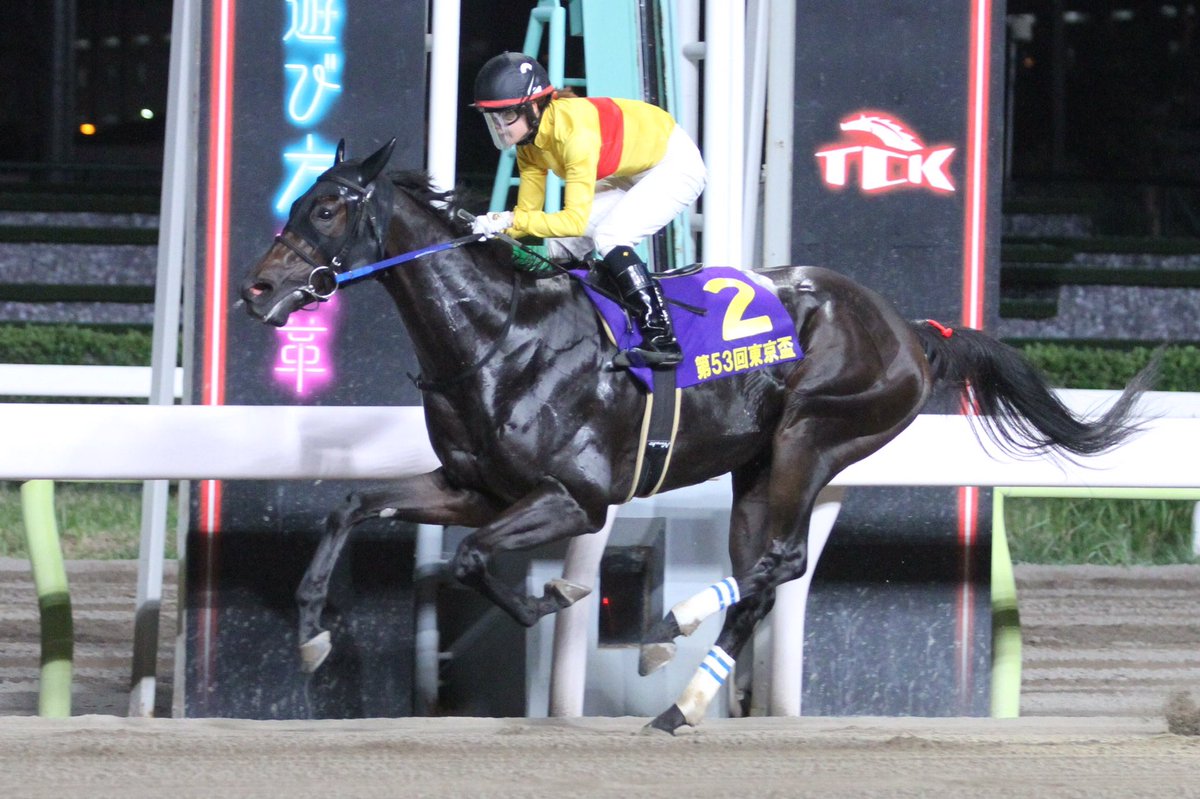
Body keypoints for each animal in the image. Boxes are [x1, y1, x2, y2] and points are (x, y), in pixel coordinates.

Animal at [241, 139, 1154, 734]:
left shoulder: (575, 498)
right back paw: (678, 698)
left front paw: (552, 598)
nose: (258, 289)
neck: (499, 336)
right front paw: (313, 627)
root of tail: (909, 329)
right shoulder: (473, 488)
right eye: (294, 199)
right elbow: (355, 504)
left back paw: (671, 631)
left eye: (328, 206)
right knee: (762, 572)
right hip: (760, 465)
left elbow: (474, 560)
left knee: (780, 560)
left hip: (815, 435)